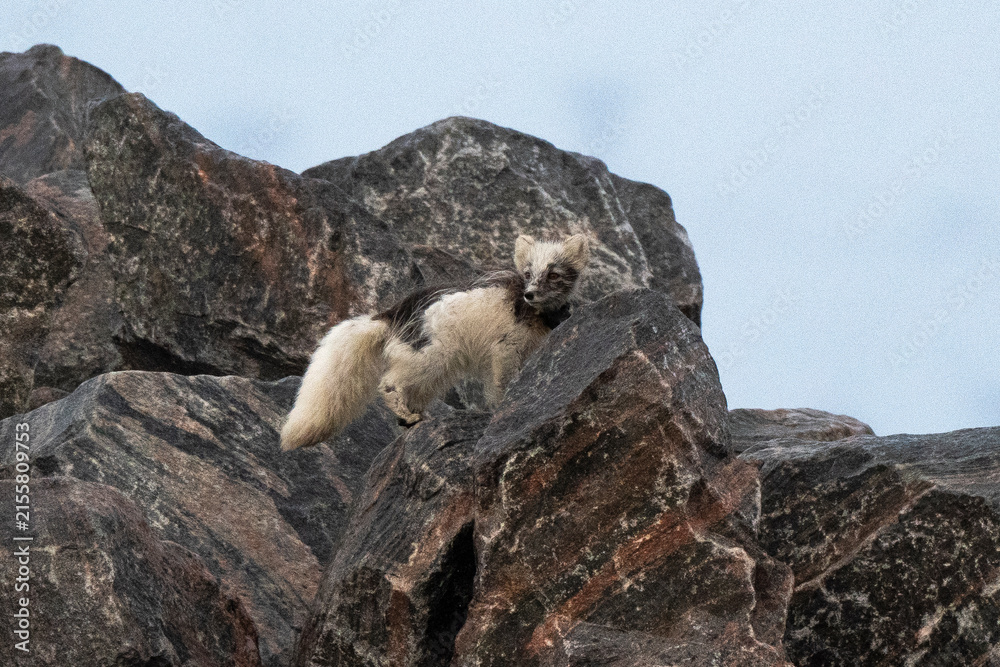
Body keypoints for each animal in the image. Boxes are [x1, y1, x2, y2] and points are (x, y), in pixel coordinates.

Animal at [279, 233, 590, 451]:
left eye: (554, 274)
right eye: (527, 273)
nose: (529, 294)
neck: (537, 315)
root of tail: (391, 313)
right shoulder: (505, 349)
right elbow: (501, 385)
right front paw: (503, 407)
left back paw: (412, 418)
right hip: (431, 355)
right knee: (389, 383)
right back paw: (410, 416)